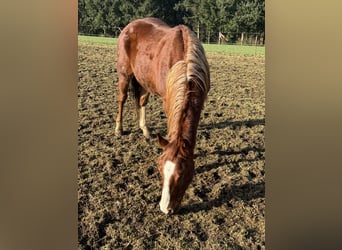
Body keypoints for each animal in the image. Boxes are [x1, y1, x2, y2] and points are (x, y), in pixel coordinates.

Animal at [115, 17, 210, 214]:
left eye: (182, 175)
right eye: (159, 170)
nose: (165, 209)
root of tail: (129, 26)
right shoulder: (167, 100)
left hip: (144, 79)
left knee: (142, 101)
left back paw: (145, 130)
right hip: (124, 74)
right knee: (122, 99)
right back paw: (119, 129)